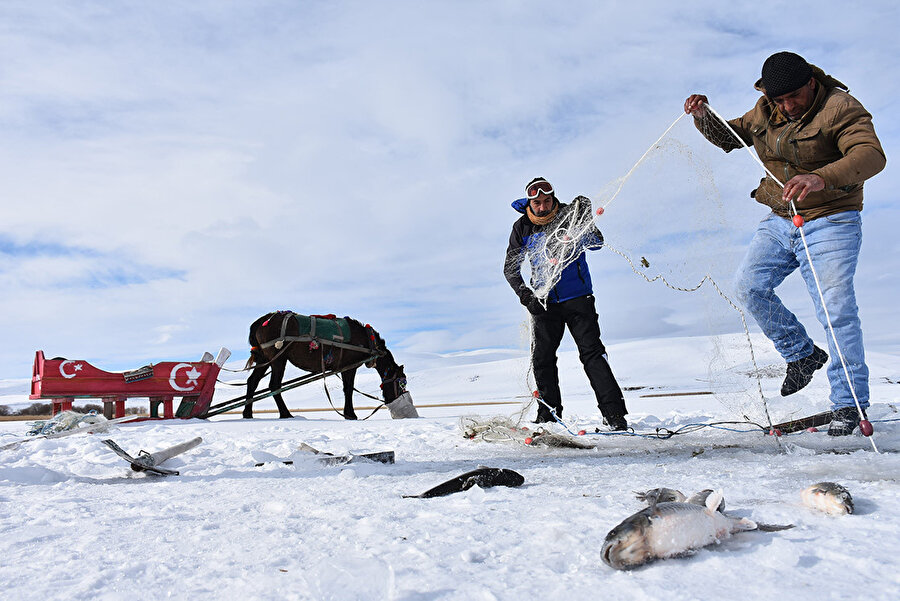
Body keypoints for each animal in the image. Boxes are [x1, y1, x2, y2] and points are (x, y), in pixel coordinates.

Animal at [239, 312, 408, 420]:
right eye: (401, 382)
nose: (393, 401)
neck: (366, 341)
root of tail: (261, 322)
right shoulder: (350, 366)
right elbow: (348, 390)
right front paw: (350, 414)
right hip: (278, 359)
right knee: (274, 385)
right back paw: (286, 414)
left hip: (264, 359)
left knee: (252, 382)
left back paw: (248, 413)